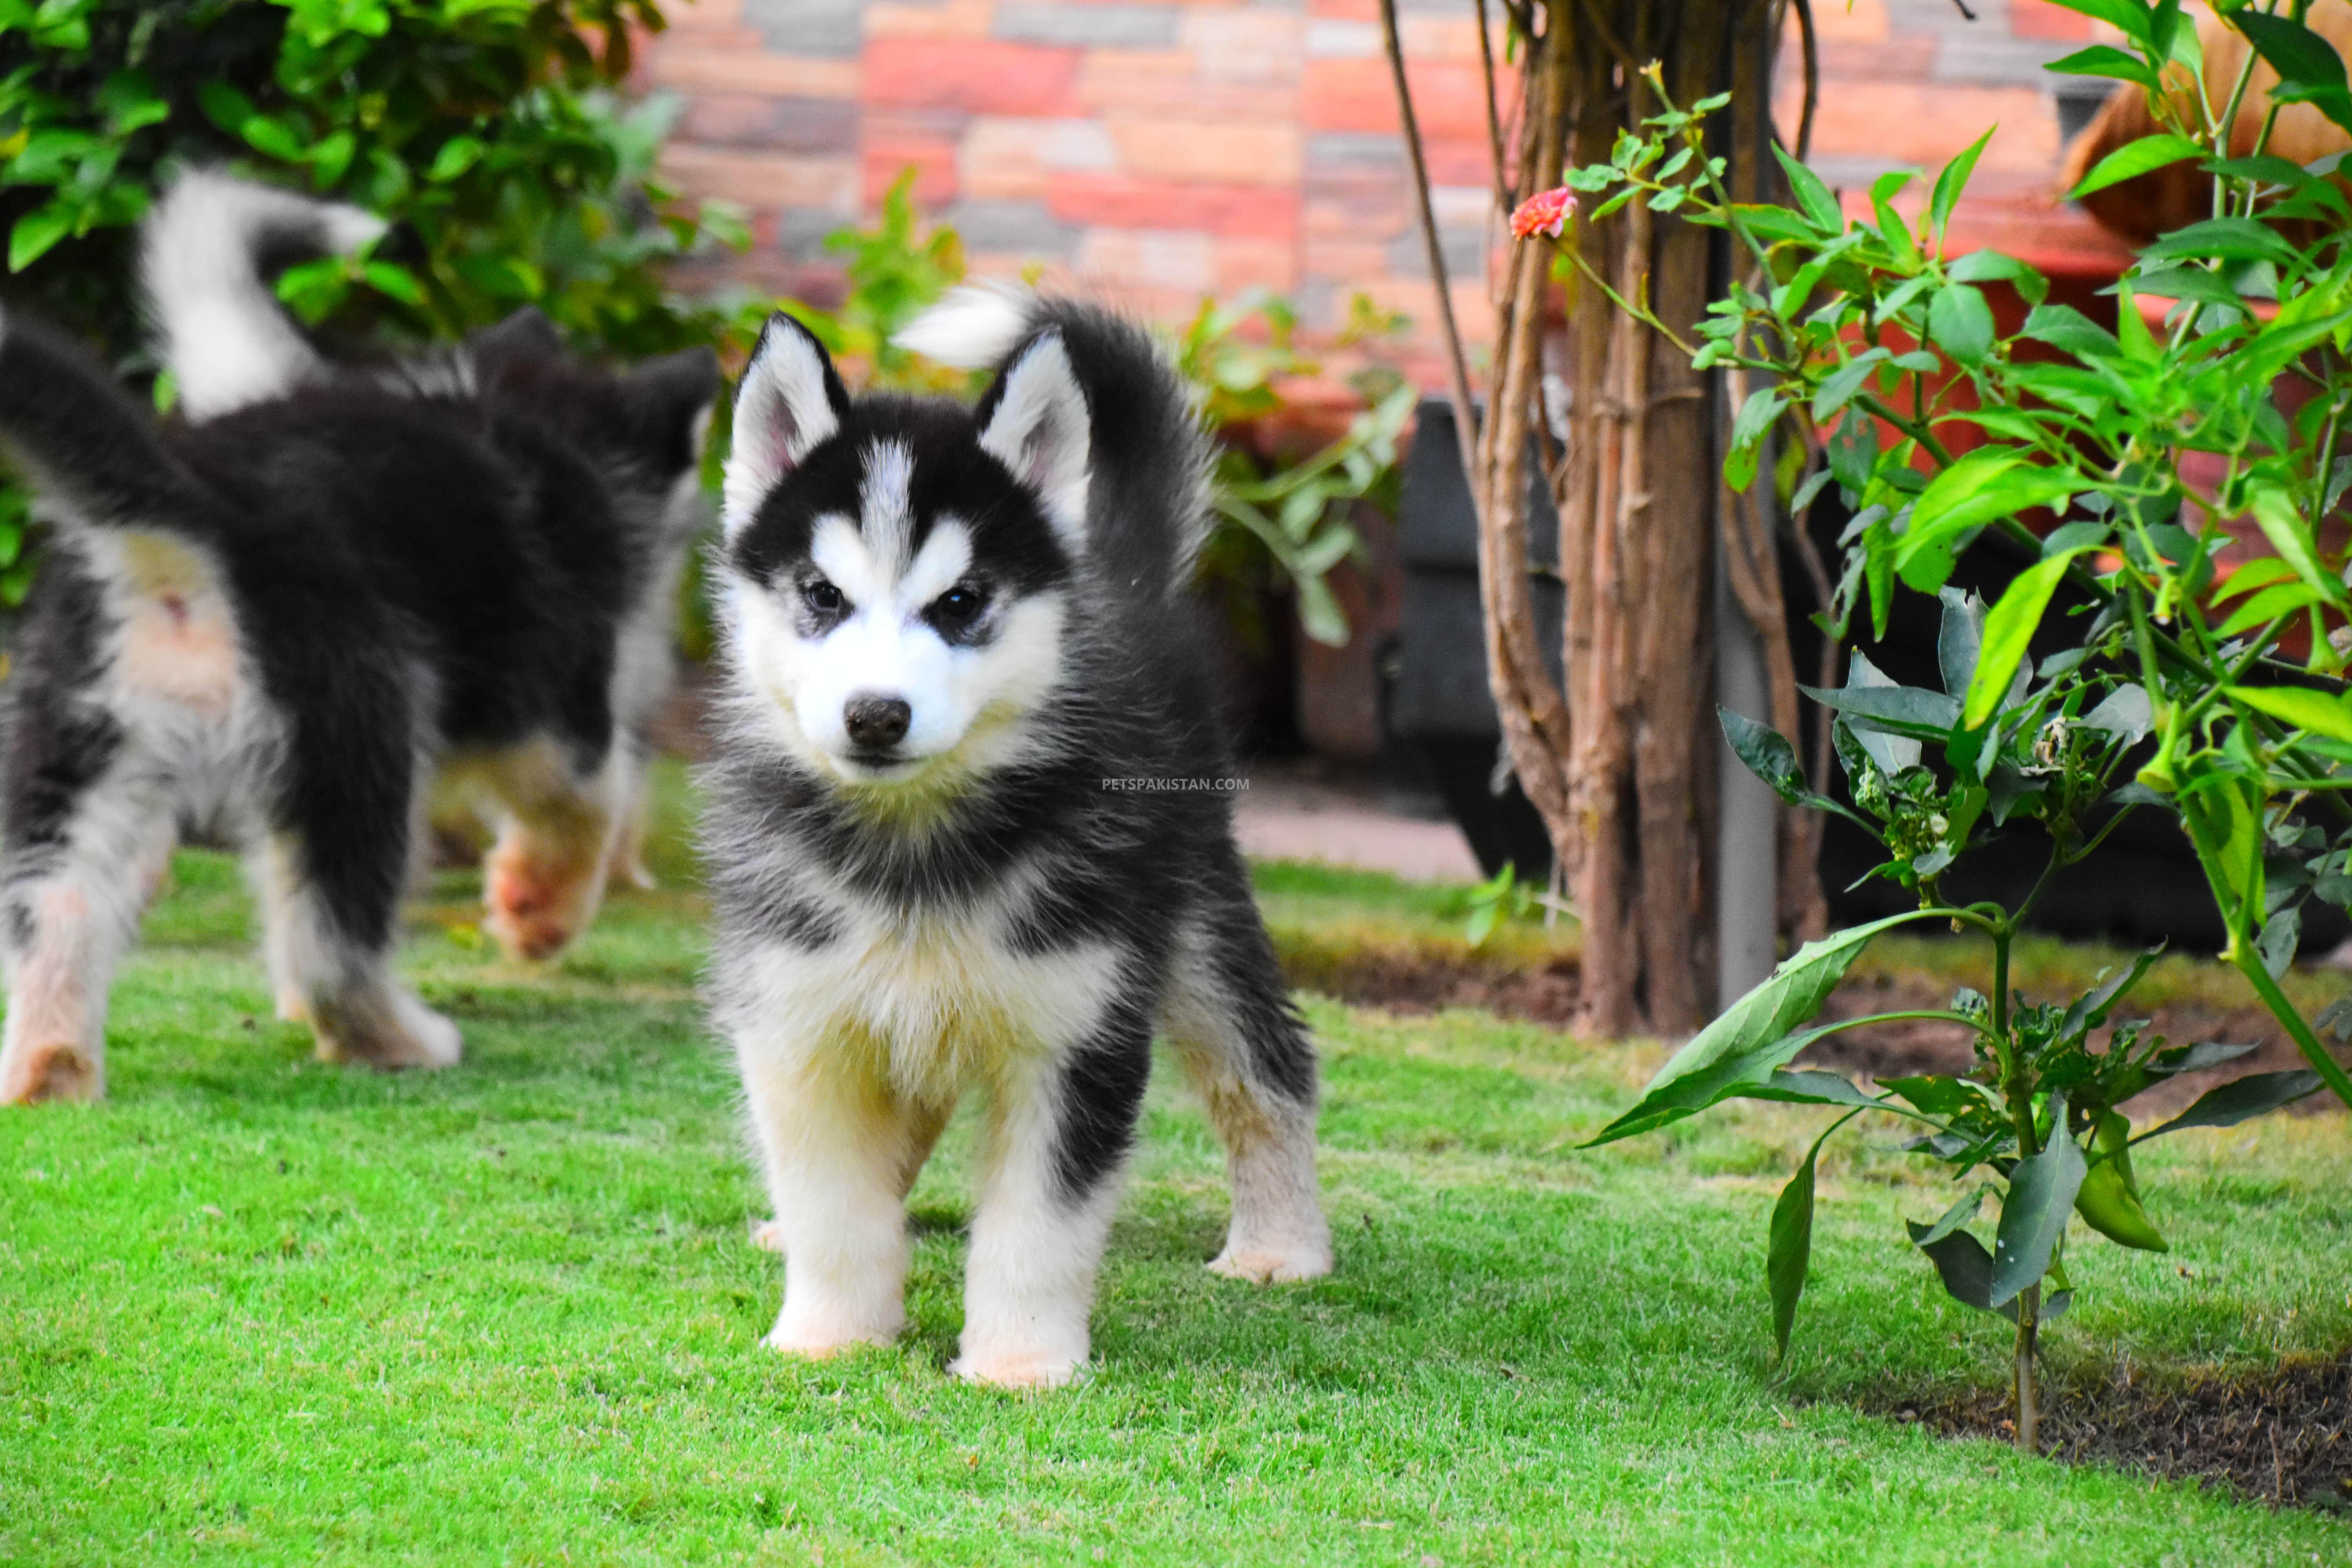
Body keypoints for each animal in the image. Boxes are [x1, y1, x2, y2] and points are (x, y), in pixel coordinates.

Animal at [0, 169, 715, 1105]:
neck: (523, 412)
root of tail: (205, 505)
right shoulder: (556, 710)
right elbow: (586, 807)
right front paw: (536, 915)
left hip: (75, 754)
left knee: (61, 911)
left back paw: (49, 1070)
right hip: (357, 740)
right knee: (335, 940)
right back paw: (399, 1039)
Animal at [696, 288, 1336, 1392]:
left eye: (959, 603)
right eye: (823, 596)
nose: (876, 715)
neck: (912, 849)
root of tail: (1118, 574)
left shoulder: (1076, 1031)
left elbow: (1039, 1222)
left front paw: (1021, 1363)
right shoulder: (798, 1019)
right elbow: (833, 1201)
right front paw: (831, 1332)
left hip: (1195, 918)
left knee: (1269, 1069)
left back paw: (1280, 1245)